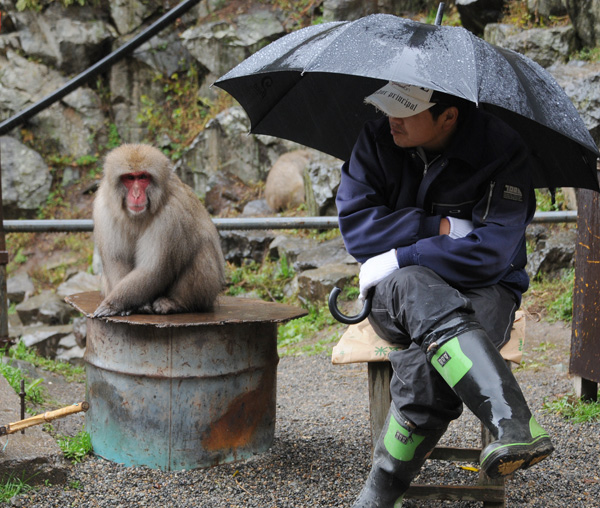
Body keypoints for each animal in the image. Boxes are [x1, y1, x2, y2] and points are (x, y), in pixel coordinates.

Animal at [91, 144, 225, 318]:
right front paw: (132, 305)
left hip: (209, 292)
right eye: (129, 178)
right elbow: (117, 260)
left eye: (143, 177)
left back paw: (176, 303)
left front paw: (114, 303)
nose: (136, 194)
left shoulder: (171, 215)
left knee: (201, 252)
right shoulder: (104, 208)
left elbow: (152, 271)